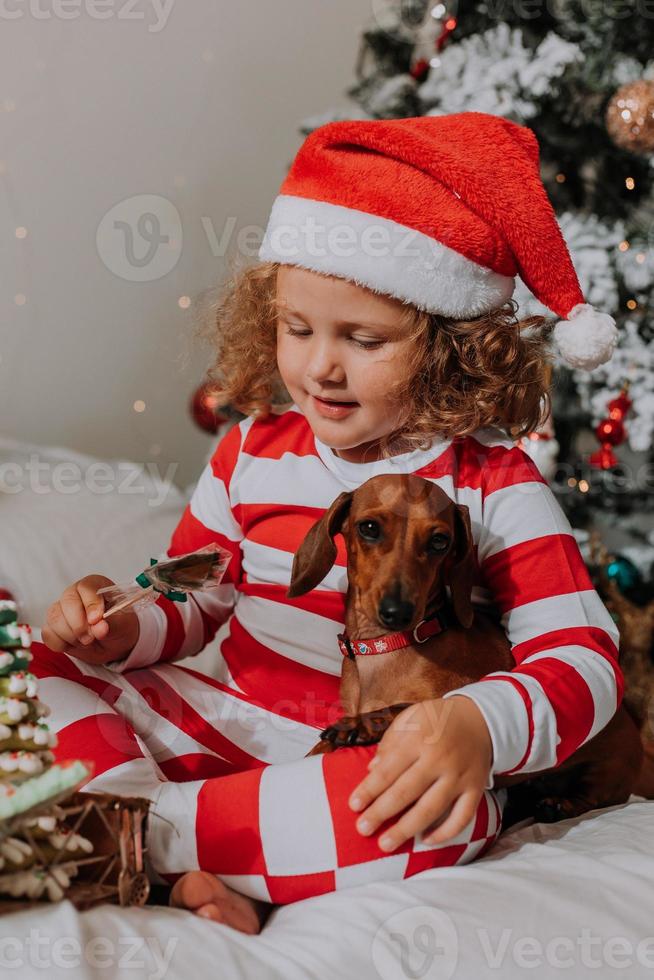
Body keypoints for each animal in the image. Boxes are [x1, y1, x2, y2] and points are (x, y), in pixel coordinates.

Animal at [288, 470, 644, 824]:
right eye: (369, 528)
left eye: (439, 541)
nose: (397, 612)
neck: (387, 648)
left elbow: (409, 708)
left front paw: (361, 724)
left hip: (606, 770)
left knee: (594, 795)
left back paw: (559, 804)